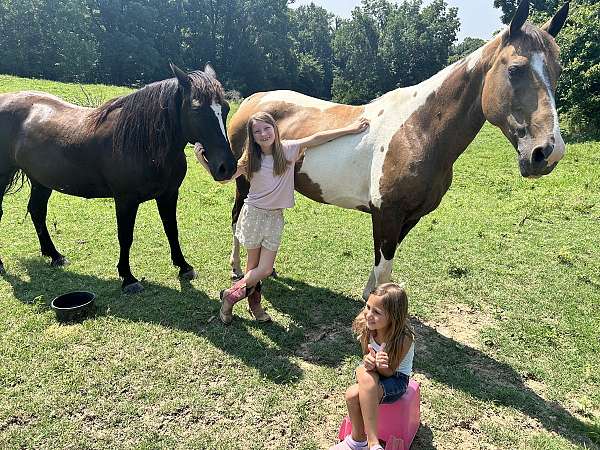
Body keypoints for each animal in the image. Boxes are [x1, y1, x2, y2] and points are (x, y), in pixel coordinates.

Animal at [0, 65, 237, 294]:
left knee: (37, 211)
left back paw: (55, 256)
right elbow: (125, 236)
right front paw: (128, 278)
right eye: (196, 109)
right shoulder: (125, 200)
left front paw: (183, 266)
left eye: (225, 108)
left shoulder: (168, 194)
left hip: (41, 181)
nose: (226, 167)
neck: (144, 144)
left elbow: (172, 229)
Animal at [227, 3, 568, 300]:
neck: (418, 132)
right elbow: (385, 269)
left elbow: (382, 265)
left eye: (558, 70)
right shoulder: (387, 213)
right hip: (244, 184)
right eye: (515, 69)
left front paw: (370, 297)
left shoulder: (408, 218)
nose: (548, 153)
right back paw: (237, 269)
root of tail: (252, 101)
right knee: (237, 219)